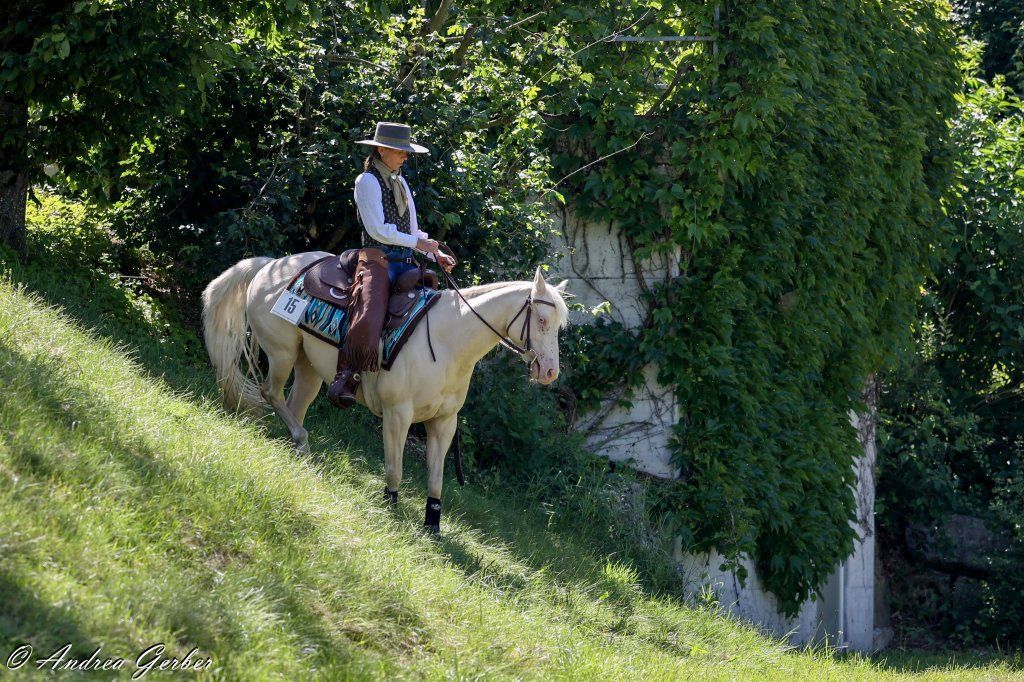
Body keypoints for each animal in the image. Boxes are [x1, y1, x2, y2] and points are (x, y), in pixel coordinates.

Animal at [201, 251, 569, 532]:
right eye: (541, 321)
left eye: (558, 325)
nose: (550, 371)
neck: (448, 340)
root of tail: (271, 264)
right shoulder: (397, 414)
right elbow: (396, 467)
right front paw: (390, 505)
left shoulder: (444, 422)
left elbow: (436, 478)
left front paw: (432, 526)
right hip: (282, 353)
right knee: (270, 393)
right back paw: (301, 440)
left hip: (309, 367)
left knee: (293, 402)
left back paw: (296, 447)